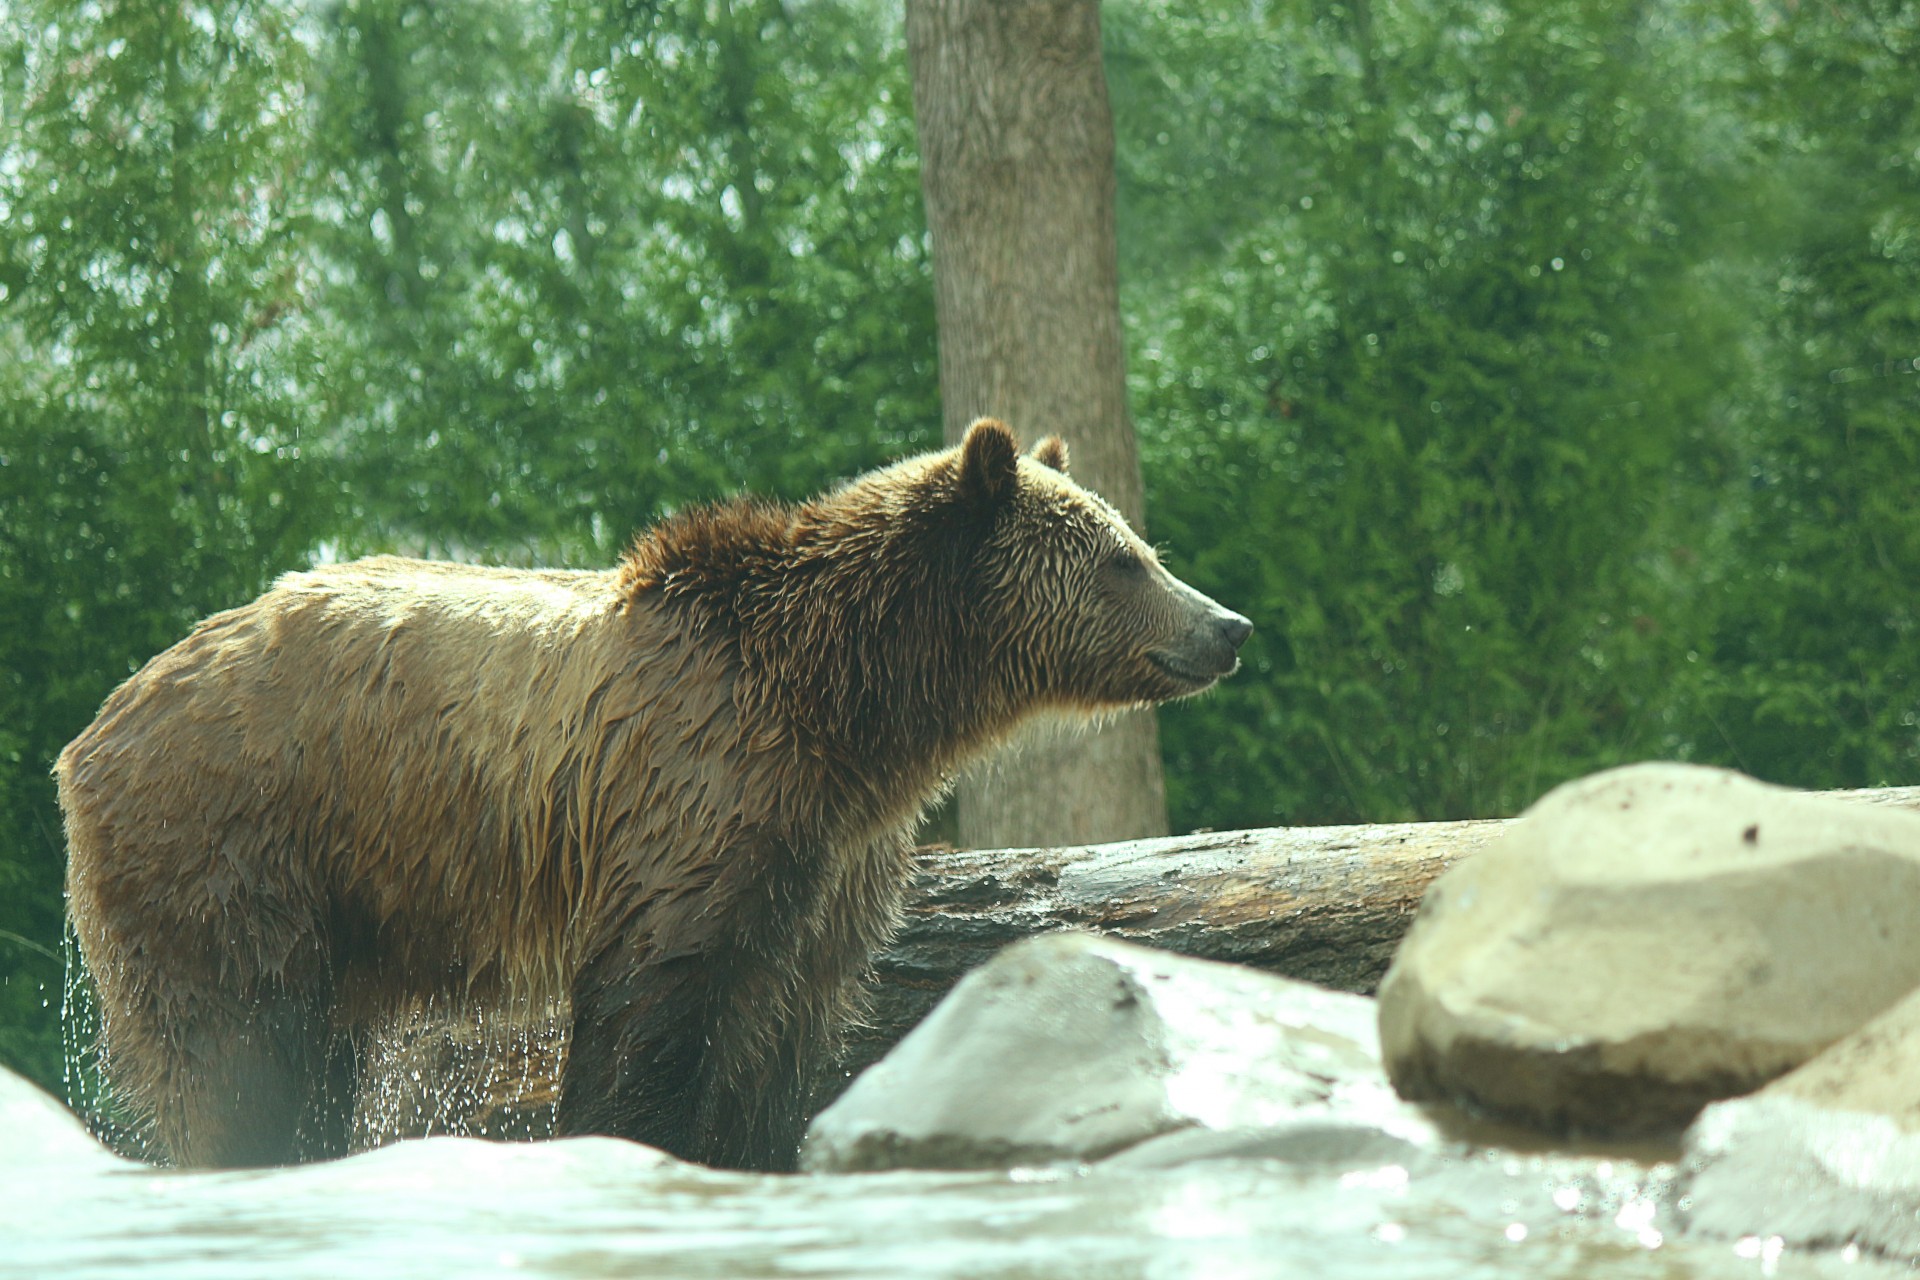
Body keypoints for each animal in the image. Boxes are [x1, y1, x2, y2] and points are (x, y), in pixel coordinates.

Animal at [60, 420, 1251, 1174]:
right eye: (1121, 558)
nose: (1228, 625)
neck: (853, 708)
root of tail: (99, 723)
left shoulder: (827, 856)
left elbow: (783, 1030)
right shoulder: (698, 790)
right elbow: (657, 1003)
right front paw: (625, 1140)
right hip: (237, 837)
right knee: (236, 1048)